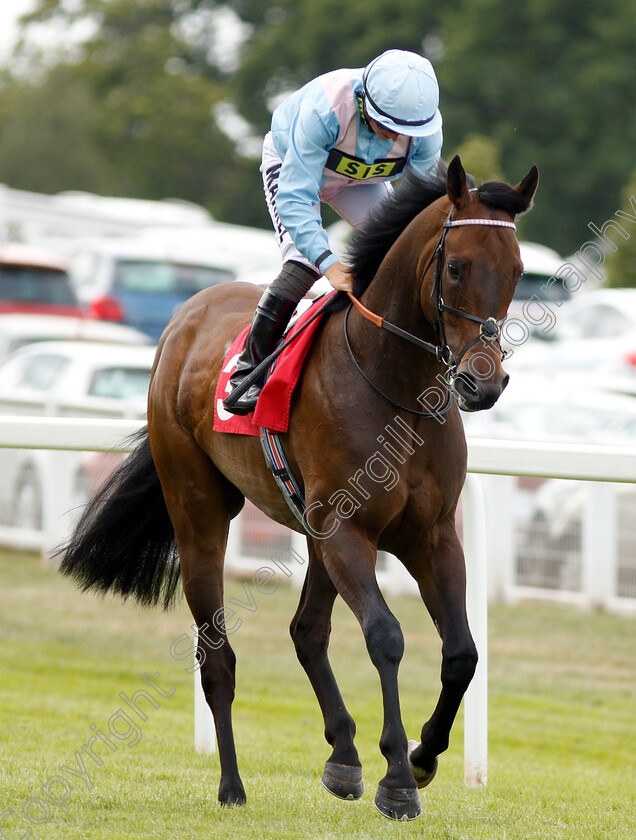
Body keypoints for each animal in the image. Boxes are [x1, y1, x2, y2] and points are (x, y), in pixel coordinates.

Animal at [60, 156, 536, 820]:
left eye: (517, 271)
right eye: (457, 266)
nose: (483, 383)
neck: (396, 388)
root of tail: (186, 315)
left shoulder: (431, 534)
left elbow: (462, 651)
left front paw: (423, 756)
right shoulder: (347, 531)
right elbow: (385, 636)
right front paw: (398, 777)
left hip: (309, 532)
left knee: (306, 632)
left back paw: (343, 756)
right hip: (200, 511)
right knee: (217, 655)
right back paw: (232, 785)